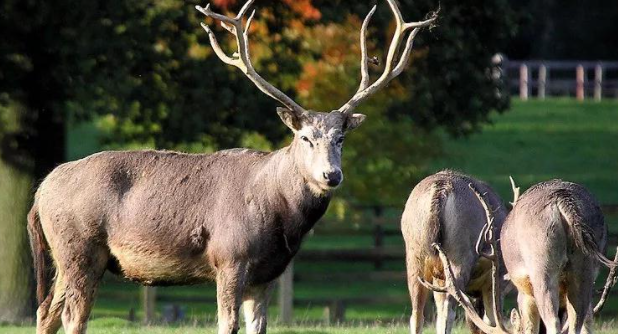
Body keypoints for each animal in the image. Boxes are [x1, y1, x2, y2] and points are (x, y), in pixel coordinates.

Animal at [26, 0, 436, 334]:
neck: (281, 220)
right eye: (305, 137)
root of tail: (41, 190)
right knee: (71, 317)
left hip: (65, 257)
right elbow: (227, 324)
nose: (331, 175)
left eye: (341, 138)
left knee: (45, 312)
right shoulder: (229, 257)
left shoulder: (268, 273)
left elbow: (259, 327)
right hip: (79, 248)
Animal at [400, 170, 506, 334]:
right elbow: (490, 320)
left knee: (417, 313)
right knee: (448, 310)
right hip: (460, 253)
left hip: (415, 255)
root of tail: (441, 190)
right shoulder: (496, 280)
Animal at [418, 180, 616, 334]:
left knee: (553, 322)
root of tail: (563, 202)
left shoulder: (525, 293)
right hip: (584, 268)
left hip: (541, 267)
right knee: (578, 323)